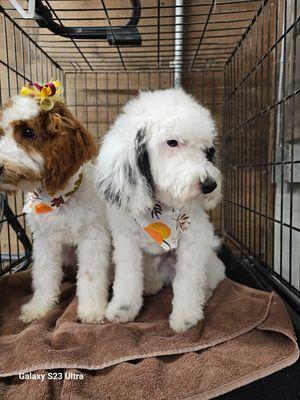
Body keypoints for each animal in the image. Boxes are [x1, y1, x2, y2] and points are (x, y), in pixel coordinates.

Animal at [0, 92, 110, 324]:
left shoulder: (93, 238)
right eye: (1, 132)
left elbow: (91, 276)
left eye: (28, 132)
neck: (57, 200)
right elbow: (44, 274)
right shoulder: (45, 241)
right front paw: (39, 307)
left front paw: (92, 311)